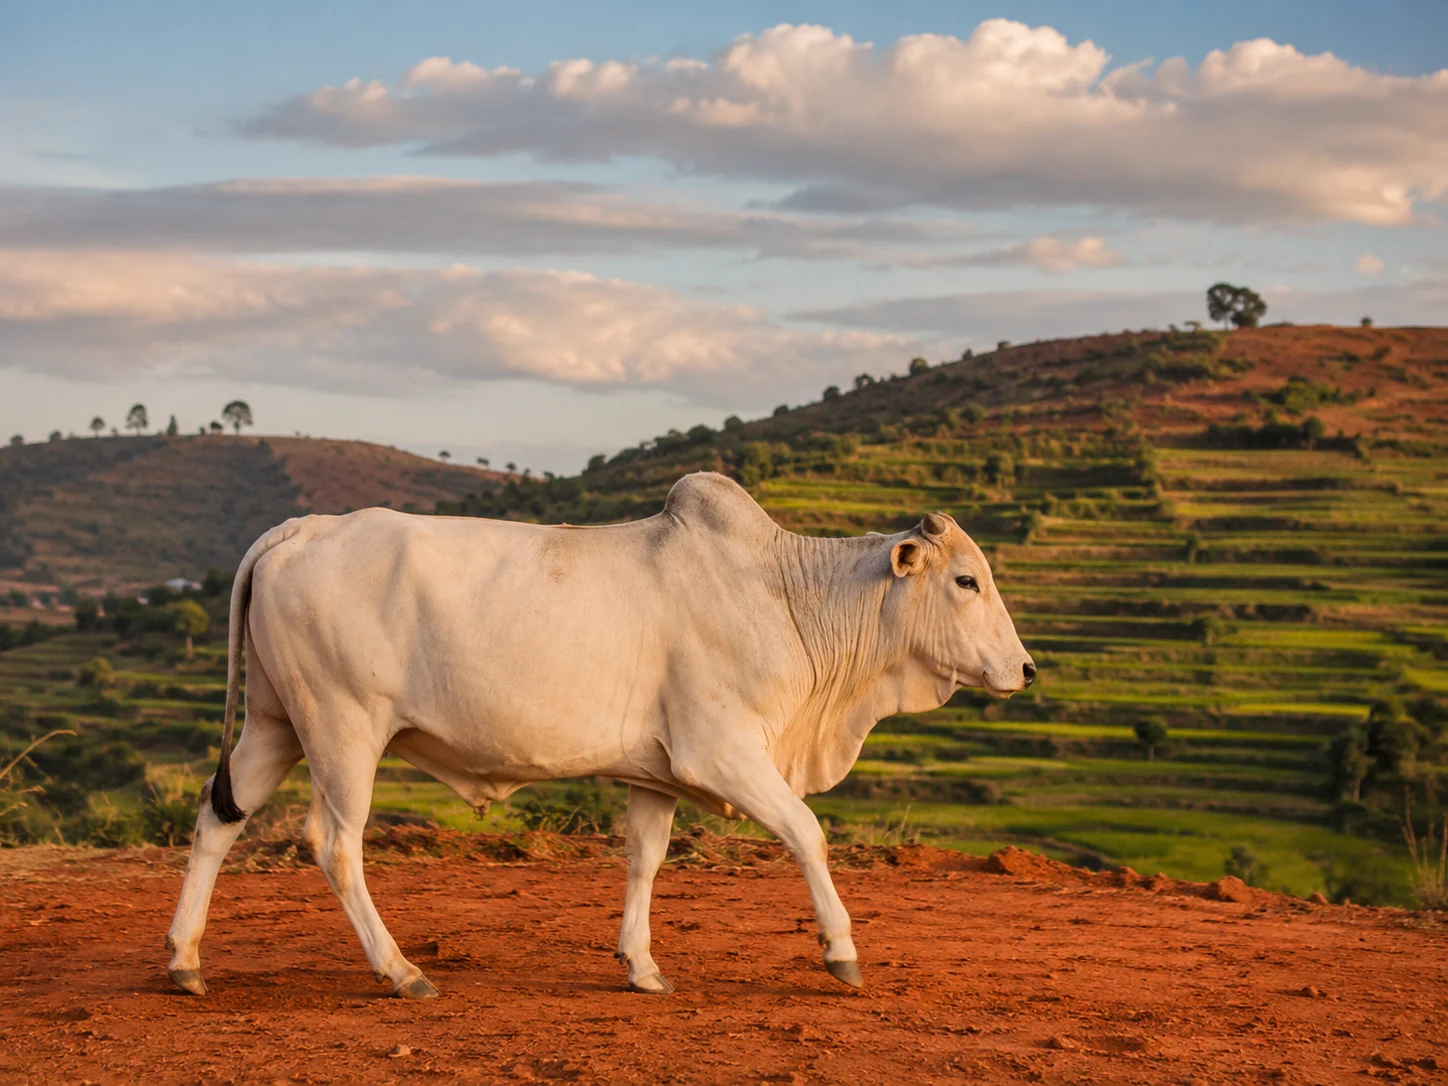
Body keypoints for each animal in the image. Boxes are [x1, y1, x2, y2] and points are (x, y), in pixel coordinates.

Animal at [165, 472, 1034, 998]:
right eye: (966, 580)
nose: (1025, 669)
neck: (788, 598)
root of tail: (300, 529)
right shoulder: (724, 754)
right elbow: (807, 833)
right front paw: (842, 951)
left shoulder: (658, 776)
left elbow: (644, 862)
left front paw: (641, 964)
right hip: (344, 730)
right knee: (336, 844)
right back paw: (401, 969)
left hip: (275, 723)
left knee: (217, 818)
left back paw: (183, 959)